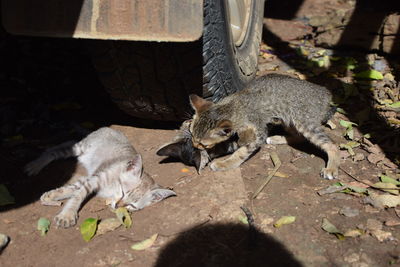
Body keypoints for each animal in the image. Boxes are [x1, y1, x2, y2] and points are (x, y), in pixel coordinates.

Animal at [25, 127, 175, 228]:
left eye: (131, 205)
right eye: (123, 192)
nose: (118, 205)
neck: (112, 188)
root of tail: (109, 128)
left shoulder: (90, 177)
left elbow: (72, 189)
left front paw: (51, 196)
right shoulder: (95, 179)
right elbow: (77, 195)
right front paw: (67, 215)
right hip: (81, 147)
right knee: (55, 149)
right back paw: (35, 165)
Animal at [189, 73, 340, 180]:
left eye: (203, 144)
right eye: (192, 136)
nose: (194, 146)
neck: (234, 106)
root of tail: (325, 92)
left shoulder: (258, 133)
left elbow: (241, 152)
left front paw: (224, 164)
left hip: (304, 121)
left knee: (332, 144)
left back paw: (331, 168)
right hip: (288, 119)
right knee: (299, 137)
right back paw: (276, 138)